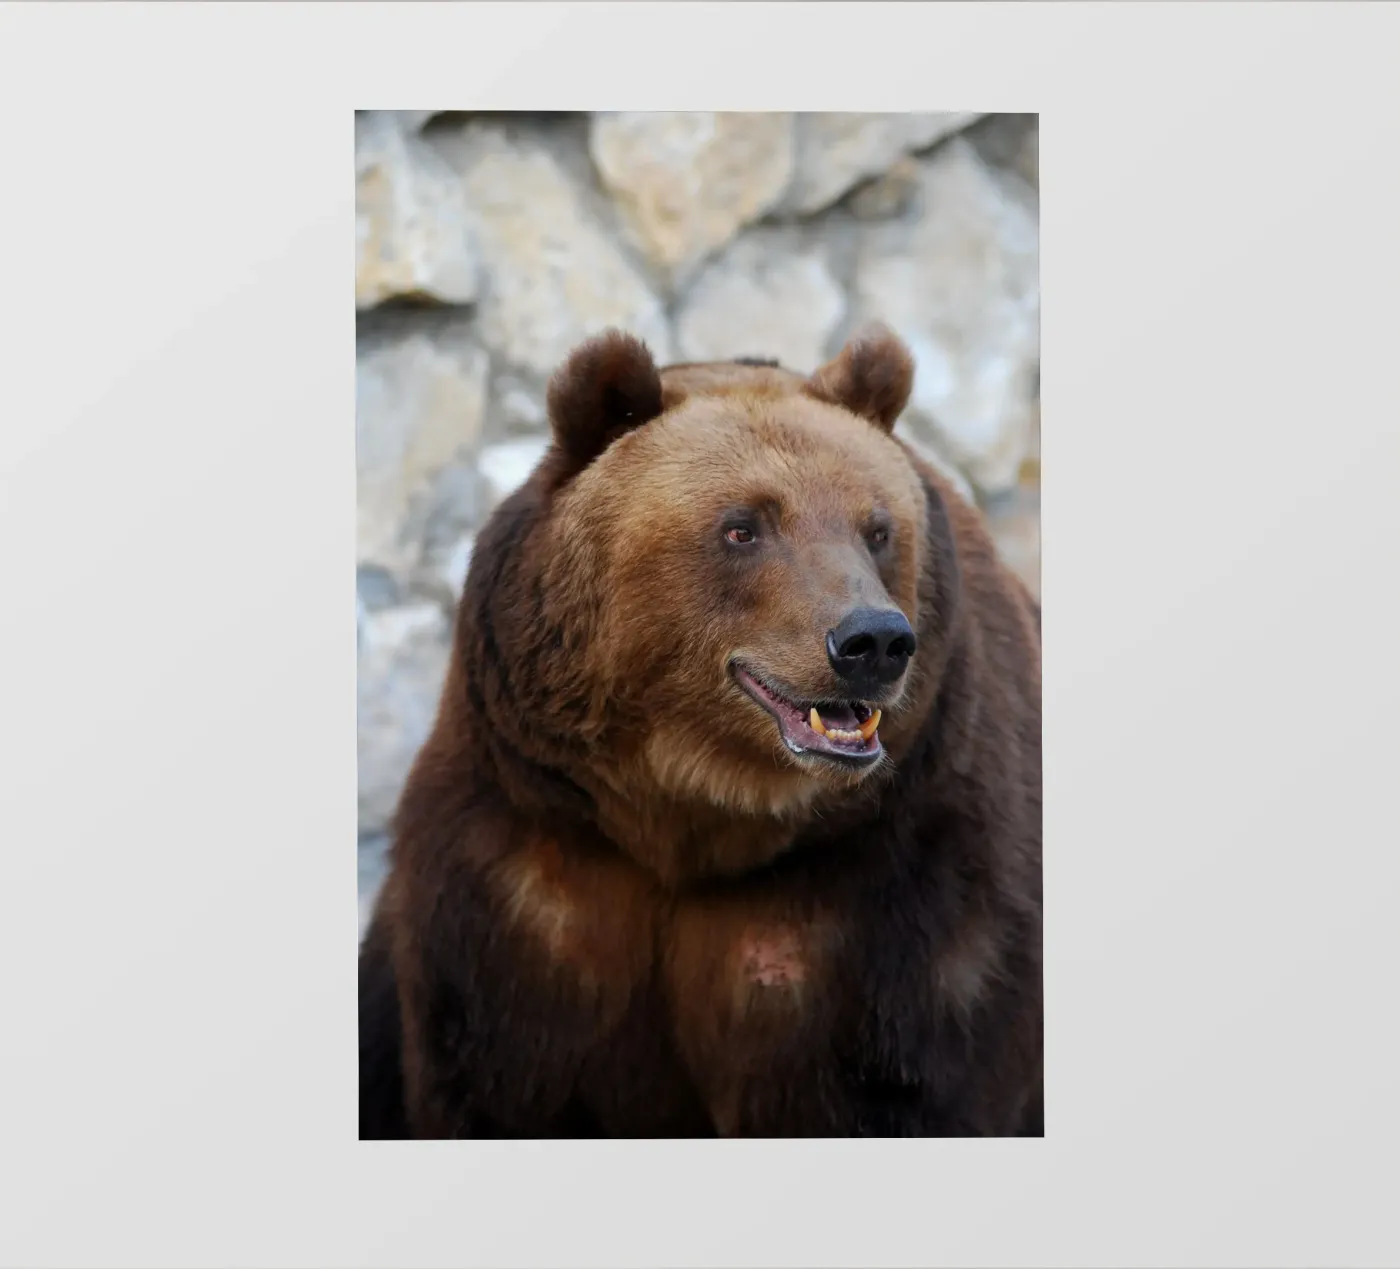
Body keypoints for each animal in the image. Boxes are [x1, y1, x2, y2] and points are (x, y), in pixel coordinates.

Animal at [359, 323, 1043, 1139]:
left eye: (877, 528)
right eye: (743, 526)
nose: (872, 640)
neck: (693, 812)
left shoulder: (898, 890)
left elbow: (904, 1082)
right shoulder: (529, 873)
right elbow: (500, 1080)